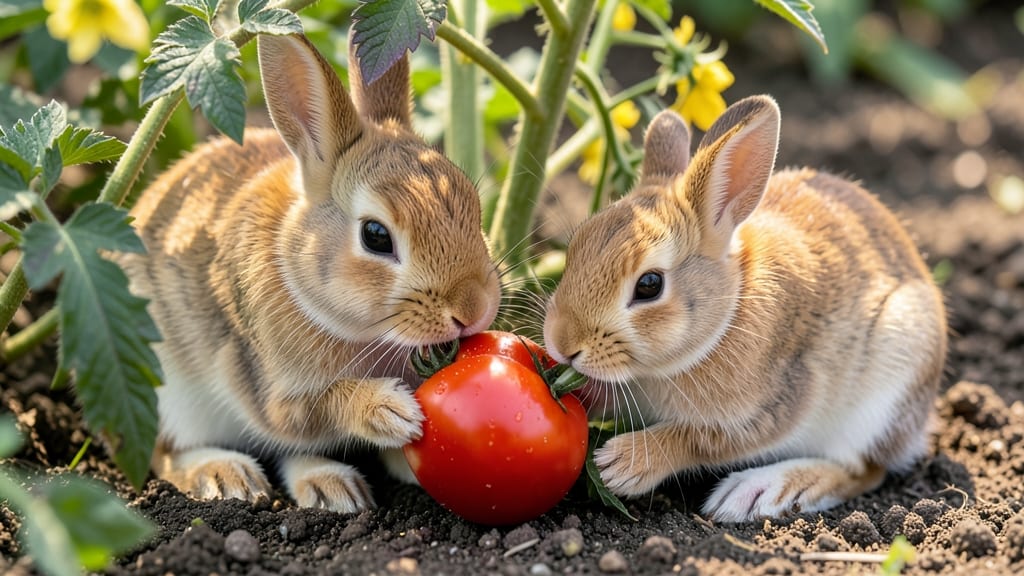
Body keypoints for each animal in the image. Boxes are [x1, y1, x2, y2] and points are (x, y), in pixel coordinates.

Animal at [118, 31, 501, 512]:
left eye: (475, 205)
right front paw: (389, 411)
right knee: (164, 452)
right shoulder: (271, 388)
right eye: (376, 236)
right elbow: (316, 409)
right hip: (165, 388)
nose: (474, 310)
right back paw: (234, 476)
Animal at [542, 95, 947, 523]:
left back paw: (760, 491)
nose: (561, 344)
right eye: (575, 247)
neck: (727, 313)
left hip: (887, 387)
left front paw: (621, 464)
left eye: (649, 285)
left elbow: (698, 438)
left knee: (862, 469)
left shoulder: (772, 406)